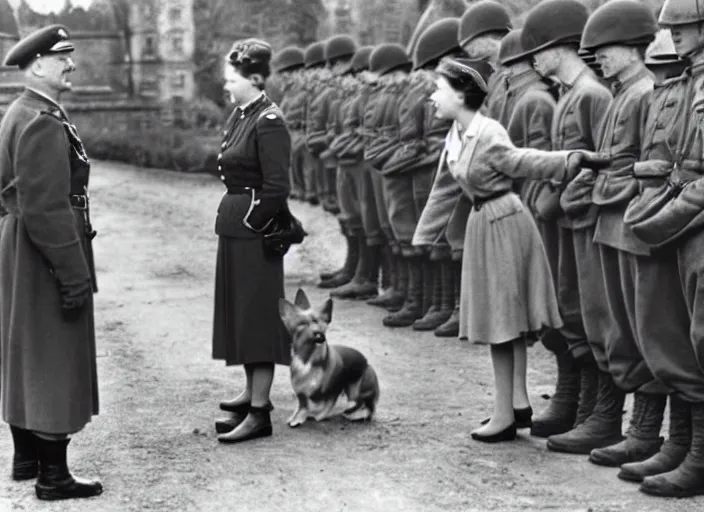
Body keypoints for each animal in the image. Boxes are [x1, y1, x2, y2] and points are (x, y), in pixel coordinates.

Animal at [280, 288, 380, 428]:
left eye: (319, 322)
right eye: (303, 324)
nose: (319, 334)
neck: (309, 359)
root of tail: (367, 362)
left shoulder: (334, 389)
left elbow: (323, 404)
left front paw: (313, 416)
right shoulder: (301, 394)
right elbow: (303, 405)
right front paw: (298, 417)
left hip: (355, 389)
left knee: (366, 406)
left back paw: (356, 414)